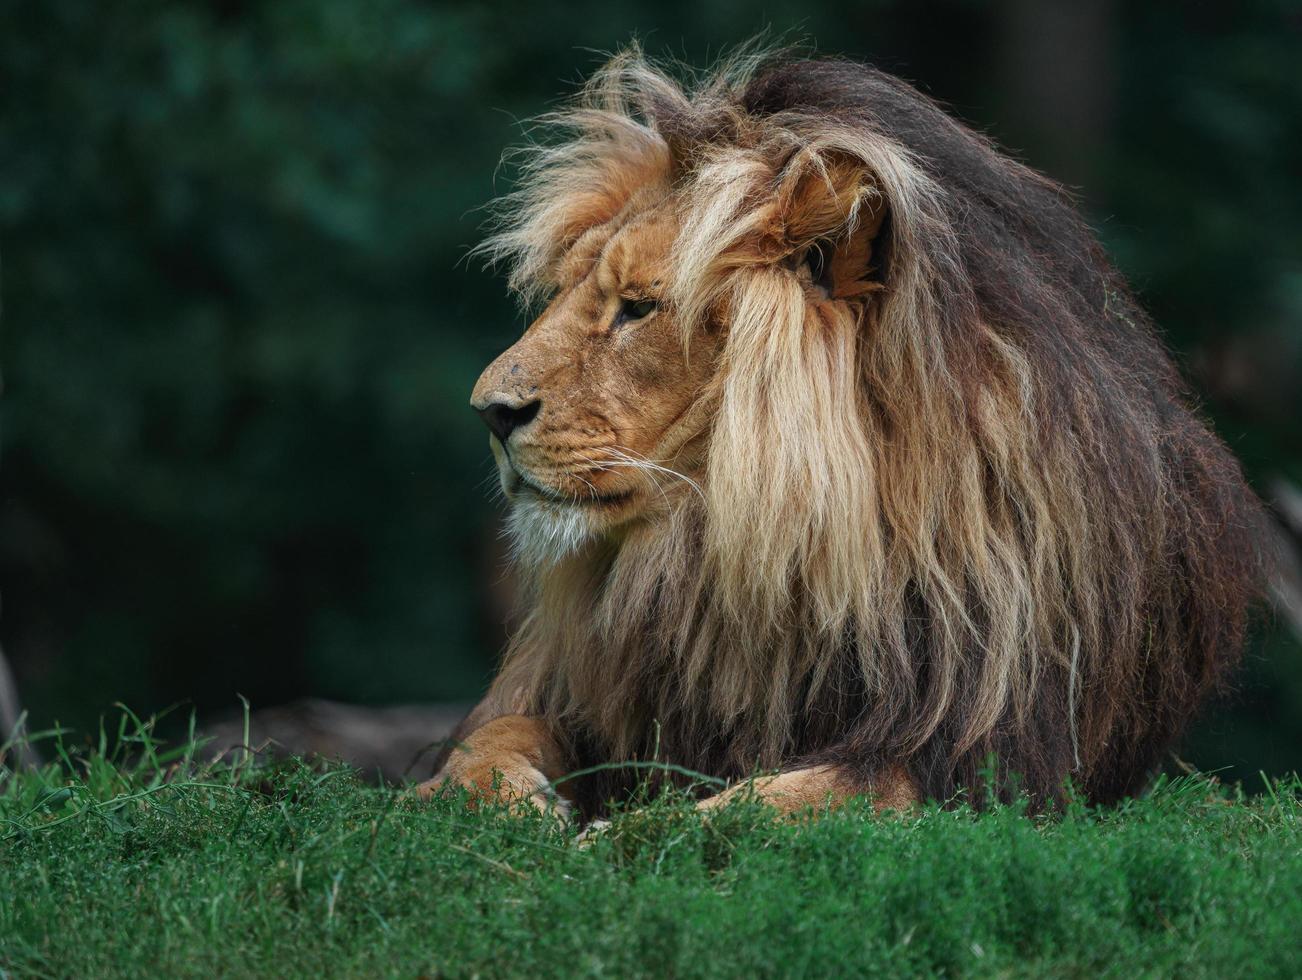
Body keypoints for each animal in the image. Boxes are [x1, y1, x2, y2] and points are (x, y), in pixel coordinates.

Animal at [419, 51, 1270, 817]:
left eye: (637, 307)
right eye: (568, 291)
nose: (489, 412)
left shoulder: (968, 757)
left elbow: (750, 809)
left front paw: (617, 841)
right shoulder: (572, 694)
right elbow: (488, 742)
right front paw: (496, 805)